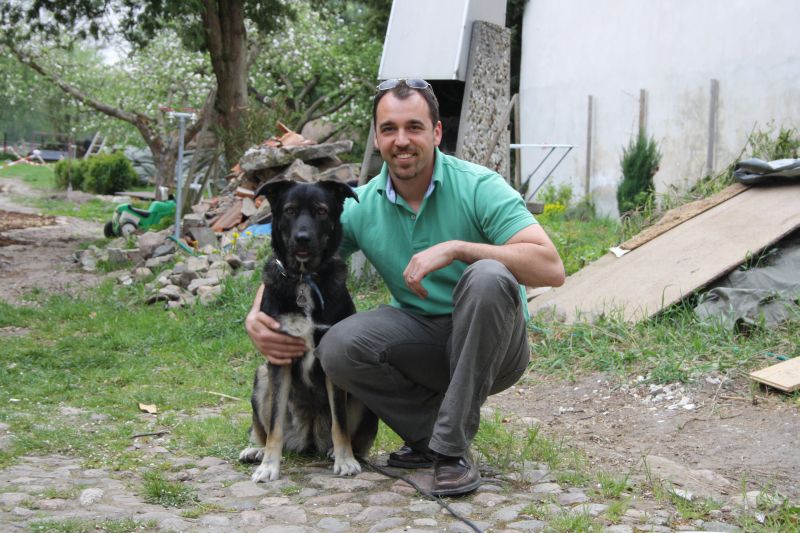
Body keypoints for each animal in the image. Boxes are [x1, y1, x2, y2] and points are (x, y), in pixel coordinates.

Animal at [239, 179, 378, 482]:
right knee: (264, 428)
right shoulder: (278, 359)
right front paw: (269, 465)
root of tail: (310, 437)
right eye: (290, 210)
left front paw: (345, 459)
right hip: (262, 375)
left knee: (354, 436)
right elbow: (275, 425)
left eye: (321, 211)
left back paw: (338, 452)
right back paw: (256, 450)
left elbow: (340, 423)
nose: (302, 237)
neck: (303, 279)